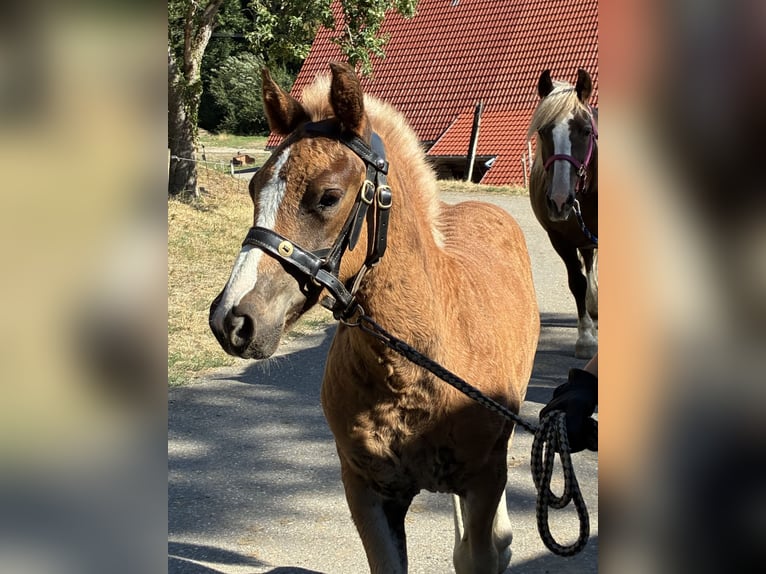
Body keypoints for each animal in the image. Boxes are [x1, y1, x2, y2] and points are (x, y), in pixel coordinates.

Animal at [209, 62, 540, 574]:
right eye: (253, 187)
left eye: (327, 197)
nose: (232, 320)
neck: (412, 367)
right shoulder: (366, 490)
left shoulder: (485, 479)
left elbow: (478, 551)